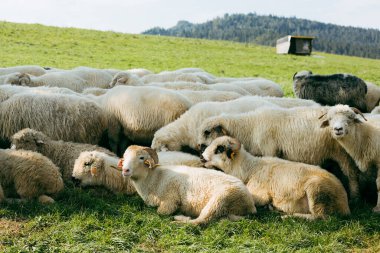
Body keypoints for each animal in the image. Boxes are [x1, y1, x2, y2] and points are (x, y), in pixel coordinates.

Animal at [119, 145, 256, 224]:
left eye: (141, 157)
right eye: (124, 157)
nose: (125, 170)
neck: (153, 177)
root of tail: (250, 204)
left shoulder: (170, 201)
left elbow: (161, 212)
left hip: (220, 199)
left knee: (200, 221)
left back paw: (179, 220)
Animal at [197, 105, 360, 201]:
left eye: (207, 132)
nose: (199, 150)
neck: (250, 127)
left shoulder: (270, 149)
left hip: (343, 154)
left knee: (352, 174)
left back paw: (354, 197)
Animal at [202, 136, 350, 219]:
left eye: (219, 149)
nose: (202, 157)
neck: (249, 168)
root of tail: (345, 205)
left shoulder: (260, 194)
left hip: (317, 190)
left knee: (322, 218)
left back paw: (289, 216)